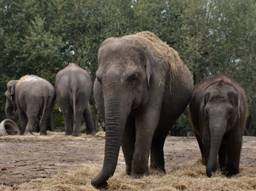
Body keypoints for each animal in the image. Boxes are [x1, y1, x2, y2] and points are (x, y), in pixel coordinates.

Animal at [91, 31, 193, 188]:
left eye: (133, 77)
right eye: (99, 79)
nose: (98, 183)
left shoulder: (157, 82)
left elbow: (147, 120)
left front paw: (138, 176)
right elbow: (125, 127)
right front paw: (129, 174)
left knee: (159, 134)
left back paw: (158, 172)